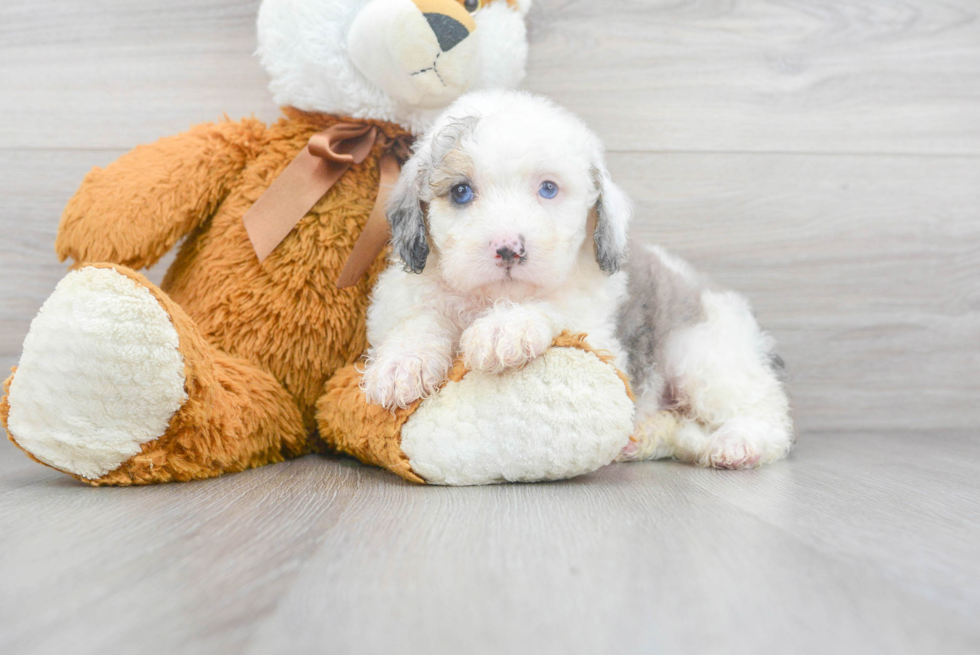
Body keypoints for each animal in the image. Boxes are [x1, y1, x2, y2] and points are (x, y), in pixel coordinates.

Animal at [364, 92, 792, 472]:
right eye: (461, 191)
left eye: (548, 189)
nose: (509, 248)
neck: (490, 299)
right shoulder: (405, 300)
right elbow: (420, 320)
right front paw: (402, 365)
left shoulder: (599, 335)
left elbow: (555, 309)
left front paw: (506, 328)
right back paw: (643, 438)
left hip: (701, 356)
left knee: (765, 409)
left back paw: (738, 443)